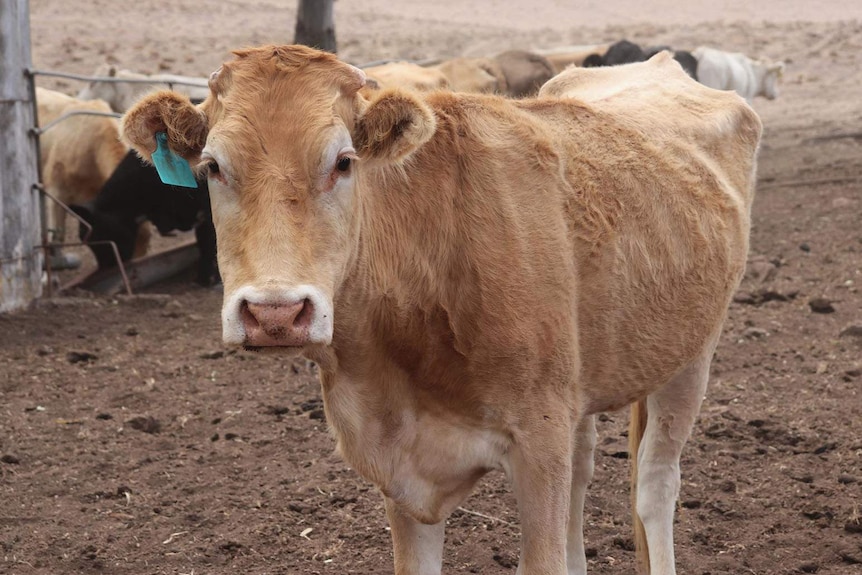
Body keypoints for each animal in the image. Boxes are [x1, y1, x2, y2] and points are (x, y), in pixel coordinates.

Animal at [121, 46, 764, 575]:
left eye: (344, 161)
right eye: (212, 166)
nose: (276, 313)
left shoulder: (538, 442)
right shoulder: (401, 471)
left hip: (691, 354)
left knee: (654, 485)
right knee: (584, 474)